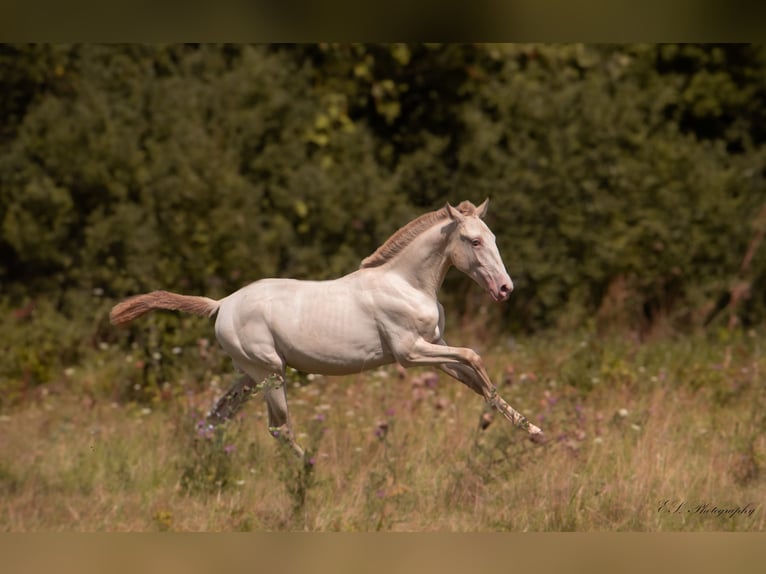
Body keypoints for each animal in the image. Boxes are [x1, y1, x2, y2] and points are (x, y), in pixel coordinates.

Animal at [111, 200, 544, 456]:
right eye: (473, 241)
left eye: (492, 237)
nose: (505, 289)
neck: (406, 284)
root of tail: (220, 305)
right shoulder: (410, 352)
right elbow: (475, 357)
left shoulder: (435, 349)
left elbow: (477, 379)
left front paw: (534, 430)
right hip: (271, 373)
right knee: (278, 429)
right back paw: (307, 471)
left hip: (249, 376)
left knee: (217, 416)